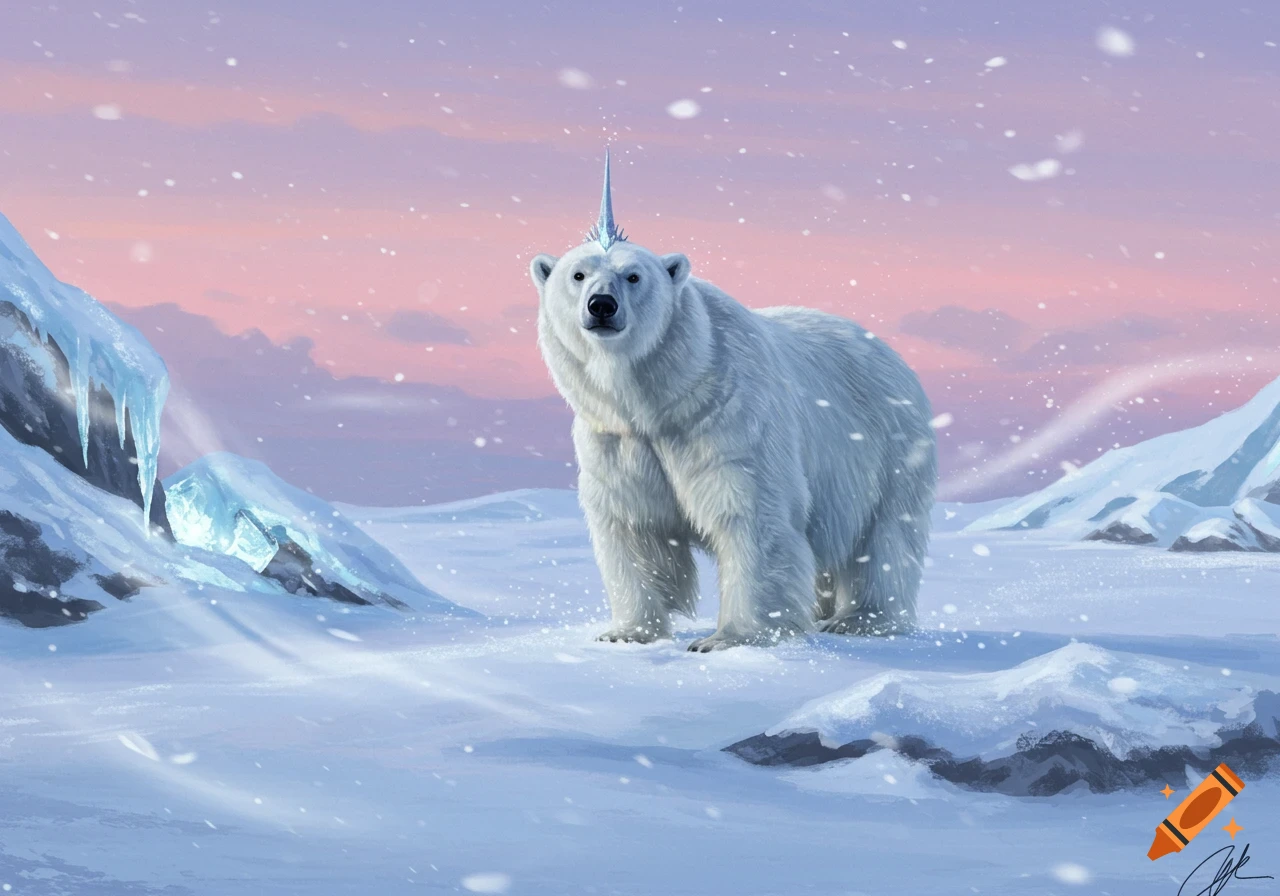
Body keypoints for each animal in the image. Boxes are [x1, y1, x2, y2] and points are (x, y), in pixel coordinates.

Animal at [530, 159, 936, 651]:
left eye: (633, 276)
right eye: (578, 275)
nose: (601, 305)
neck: (659, 399)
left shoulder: (727, 418)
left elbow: (750, 515)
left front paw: (726, 639)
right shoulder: (616, 437)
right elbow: (634, 525)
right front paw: (627, 633)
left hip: (889, 448)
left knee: (884, 537)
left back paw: (861, 619)